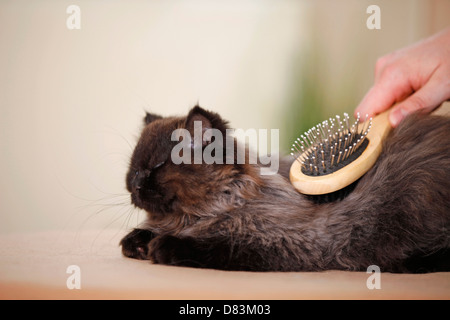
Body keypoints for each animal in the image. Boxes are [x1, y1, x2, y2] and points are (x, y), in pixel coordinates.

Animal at [119, 105, 450, 272]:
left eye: (157, 166)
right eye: (134, 168)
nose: (134, 184)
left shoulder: (292, 240)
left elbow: (218, 245)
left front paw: (162, 246)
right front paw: (137, 241)